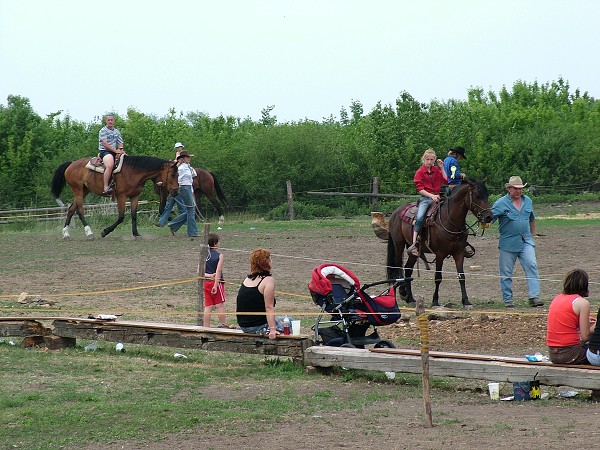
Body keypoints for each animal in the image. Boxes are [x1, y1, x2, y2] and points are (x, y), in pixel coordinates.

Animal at [390, 179, 492, 310]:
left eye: (487, 195)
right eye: (477, 195)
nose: (489, 217)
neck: (450, 221)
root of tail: (395, 212)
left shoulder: (459, 253)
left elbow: (461, 276)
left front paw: (466, 301)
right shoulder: (440, 254)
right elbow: (438, 277)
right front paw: (435, 302)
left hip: (413, 250)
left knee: (408, 269)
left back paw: (411, 299)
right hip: (398, 244)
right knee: (397, 266)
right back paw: (401, 292)